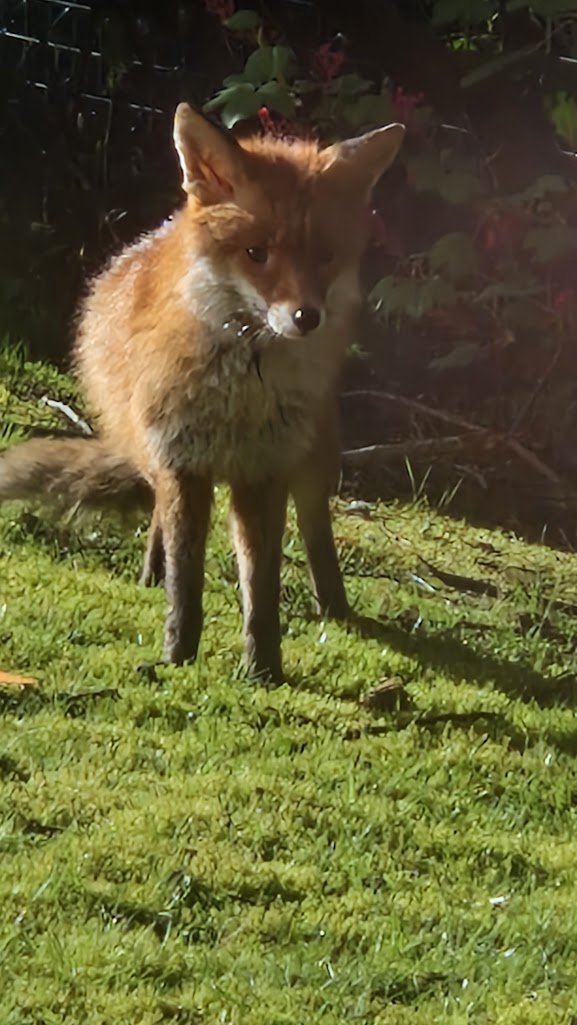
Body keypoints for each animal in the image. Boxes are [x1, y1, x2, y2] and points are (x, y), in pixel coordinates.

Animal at [0, 104, 403, 680]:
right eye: (257, 253)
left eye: (325, 256)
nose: (307, 318)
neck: (238, 395)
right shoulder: (182, 461)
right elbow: (185, 581)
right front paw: (177, 656)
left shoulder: (262, 471)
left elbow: (261, 586)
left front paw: (263, 670)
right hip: (153, 450)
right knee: (159, 521)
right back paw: (151, 570)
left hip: (312, 456)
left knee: (315, 523)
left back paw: (334, 604)